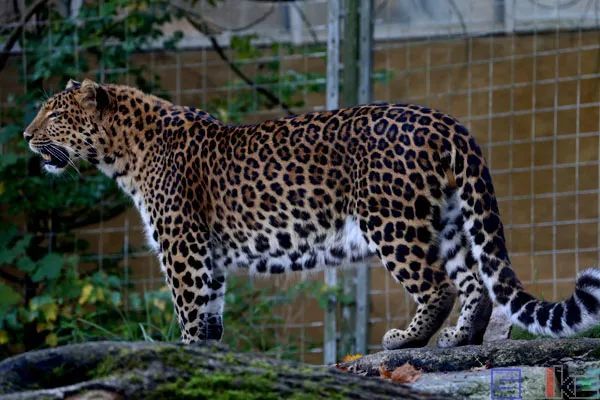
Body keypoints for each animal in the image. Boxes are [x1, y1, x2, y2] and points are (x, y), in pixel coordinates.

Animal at [24, 78, 600, 350]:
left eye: (53, 114)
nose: (26, 136)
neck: (122, 152)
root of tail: (449, 122)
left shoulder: (182, 246)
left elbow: (189, 310)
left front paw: (183, 352)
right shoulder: (207, 253)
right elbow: (210, 313)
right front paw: (207, 356)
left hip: (392, 221)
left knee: (437, 285)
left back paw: (407, 339)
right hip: (452, 220)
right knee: (475, 284)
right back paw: (459, 340)